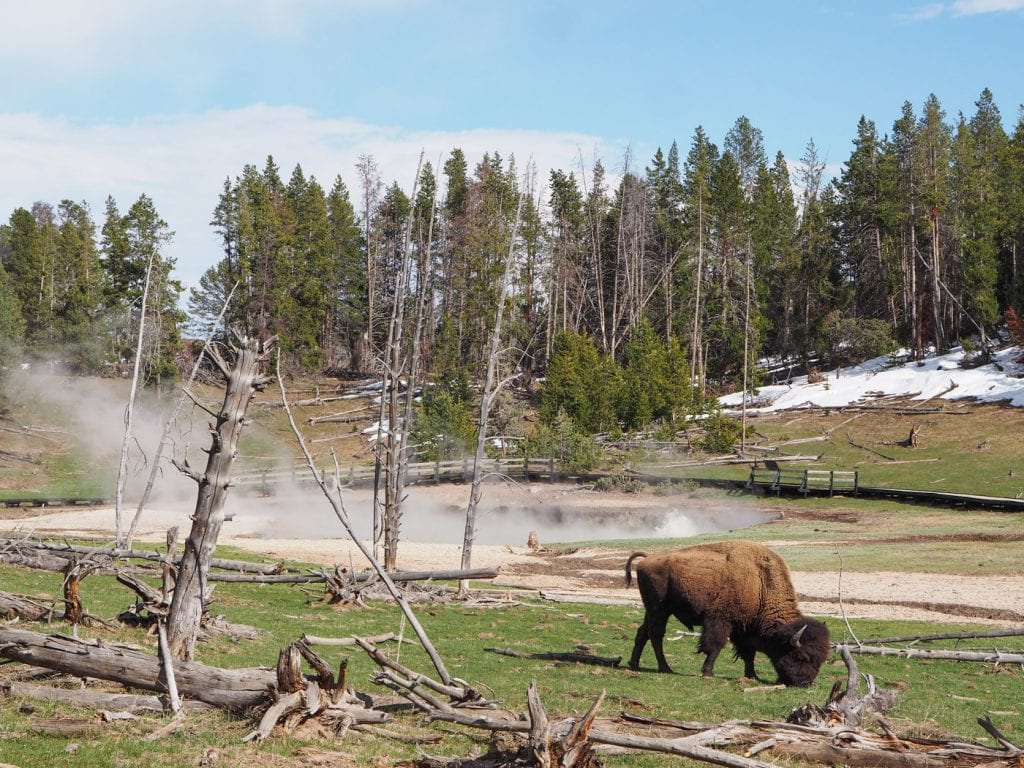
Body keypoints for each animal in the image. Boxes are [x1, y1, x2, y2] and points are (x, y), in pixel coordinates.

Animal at [622, 540, 831, 684]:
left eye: (821, 660)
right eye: (801, 657)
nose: (805, 683)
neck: (761, 583)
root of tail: (648, 557)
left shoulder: (746, 629)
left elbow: (748, 653)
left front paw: (752, 676)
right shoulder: (721, 621)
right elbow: (715, 646)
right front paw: (708, 672)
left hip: (651, 611)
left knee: (643, 633)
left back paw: (634, 664)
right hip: (660, 610)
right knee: (656, 635)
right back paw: (665, 668)